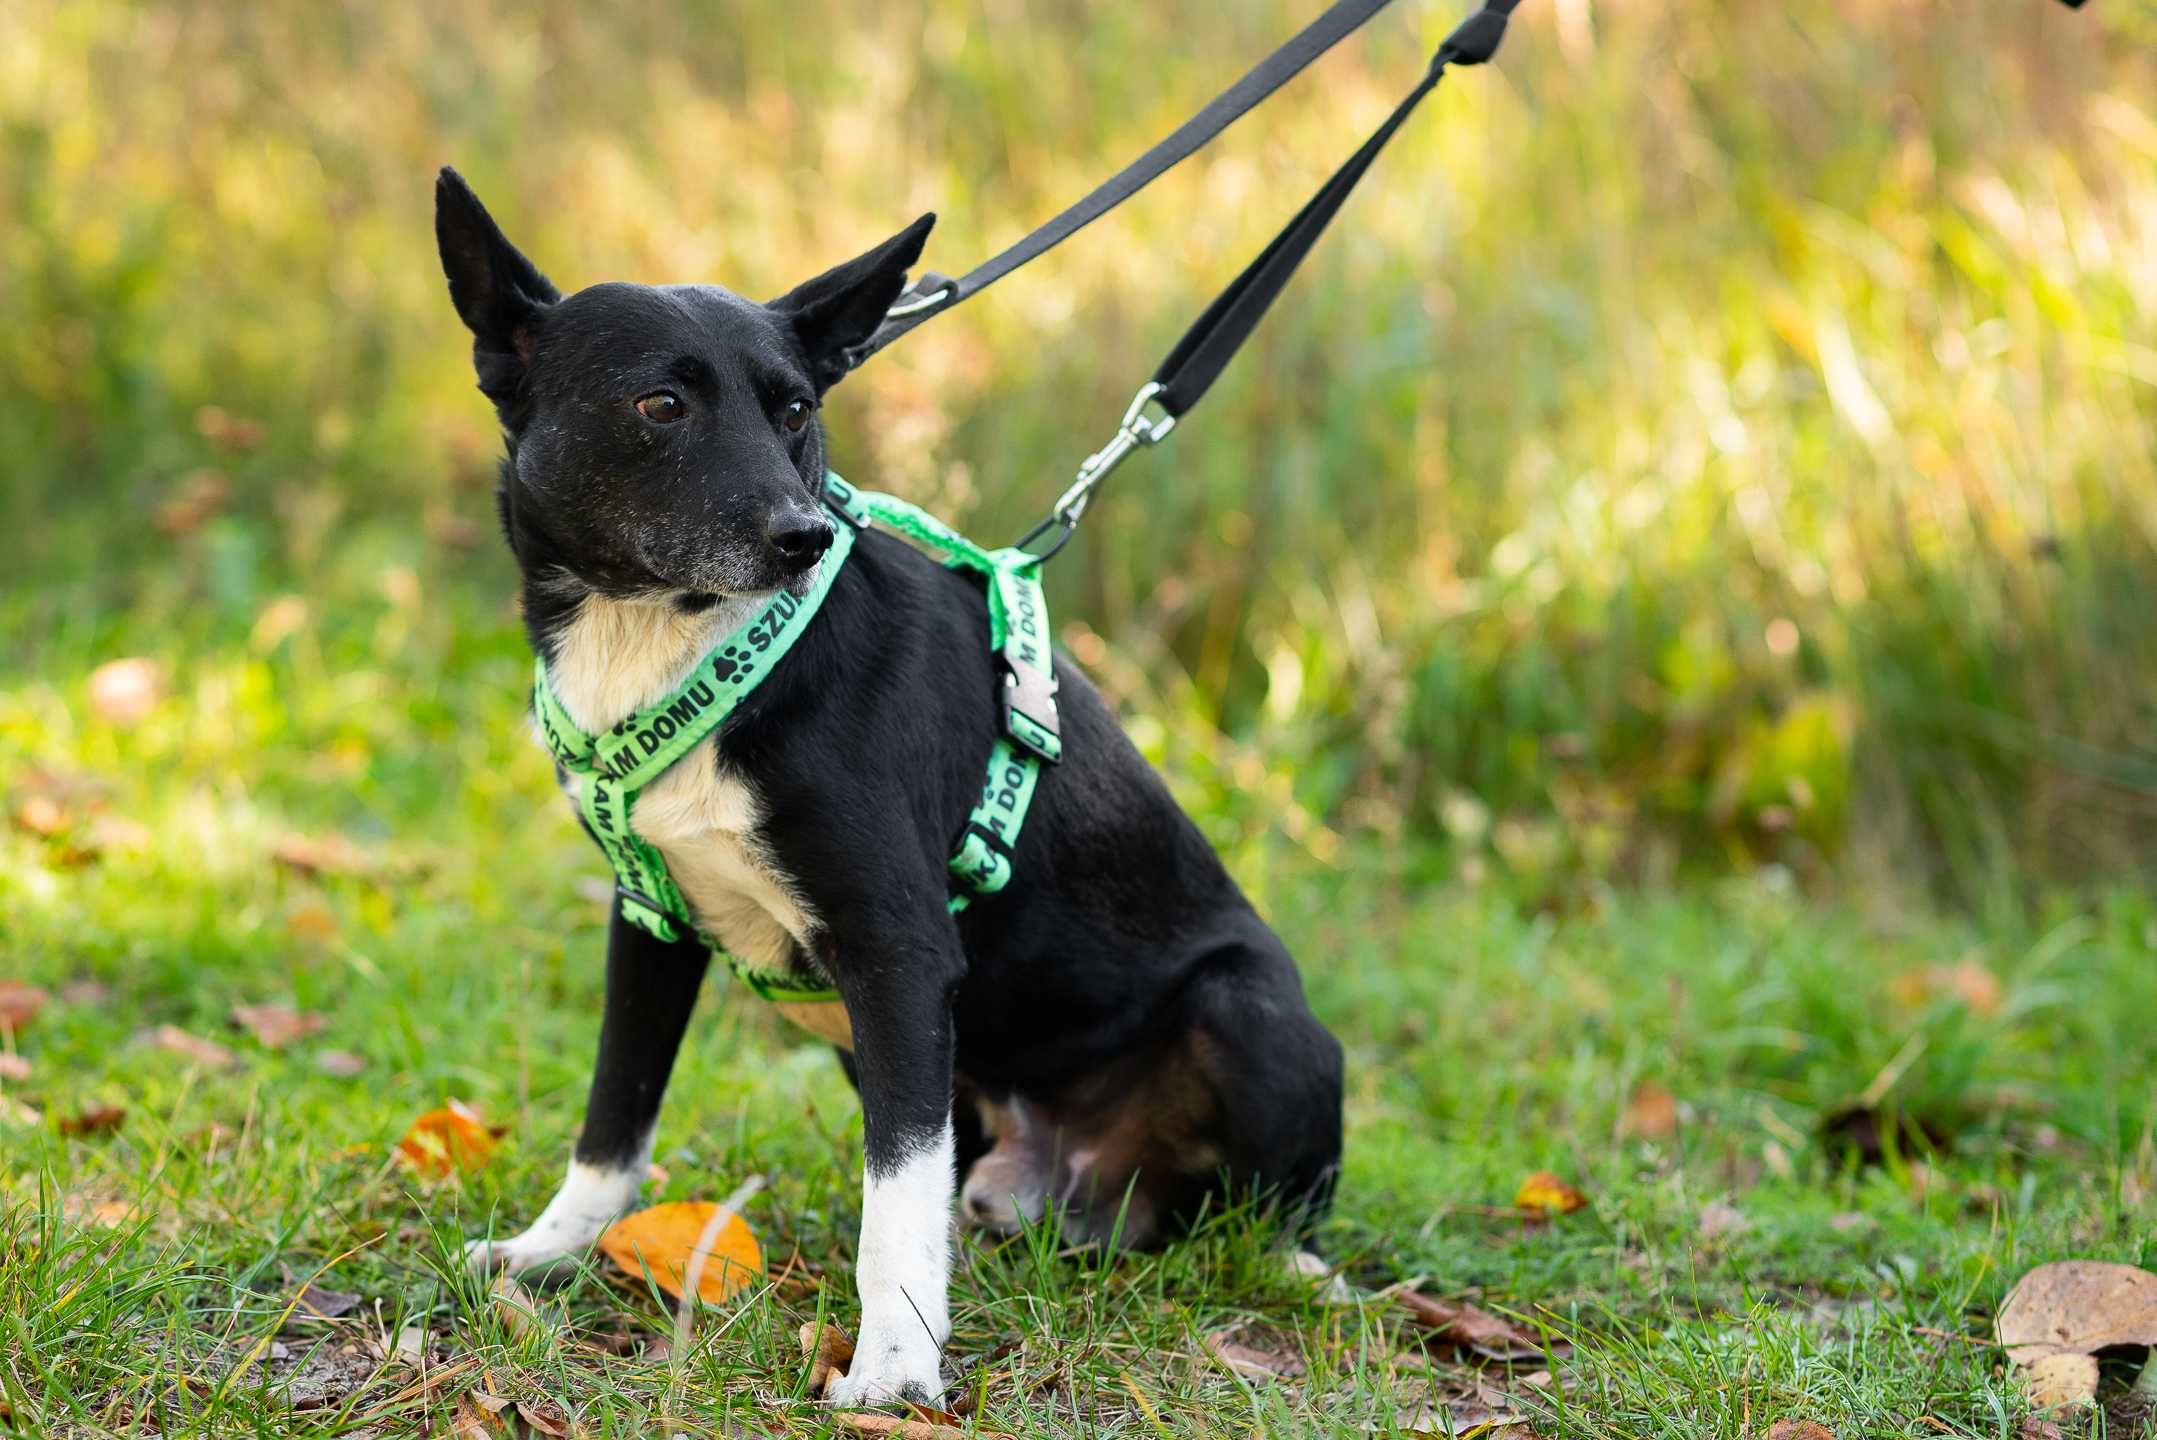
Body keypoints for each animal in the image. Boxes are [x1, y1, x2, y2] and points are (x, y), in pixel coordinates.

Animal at [435, 171, 1337, 1405]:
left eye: (794, 411)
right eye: (661, 404)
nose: (803, 537)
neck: (683, 648)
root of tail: (1095, 1190)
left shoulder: (899, 956)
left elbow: (894, 1204)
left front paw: (895, 1370)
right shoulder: (649, 922)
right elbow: (613, 1120)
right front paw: (550, 1252)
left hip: (1244, 1010)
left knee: (1269, 1204)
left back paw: (1295, 1267)